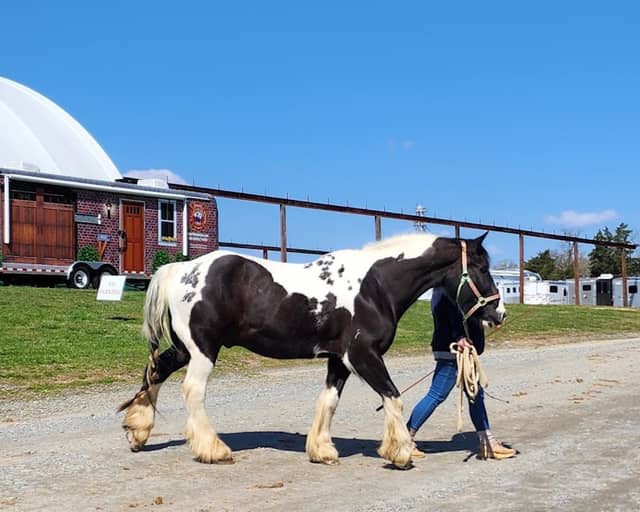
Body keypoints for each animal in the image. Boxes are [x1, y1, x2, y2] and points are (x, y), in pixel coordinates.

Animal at [119, 232, 504, 468]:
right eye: (482, 268)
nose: (498, 314)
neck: (375, 286)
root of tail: (182, 269)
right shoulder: (362, 355)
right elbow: (393, 396)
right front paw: (400, 453)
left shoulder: (339, 360)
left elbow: (328, 401)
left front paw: (322, 450)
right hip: (203, 350)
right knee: (192, 390)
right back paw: (214, 449)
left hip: (185, 348)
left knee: (156, 371)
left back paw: (139, 432)